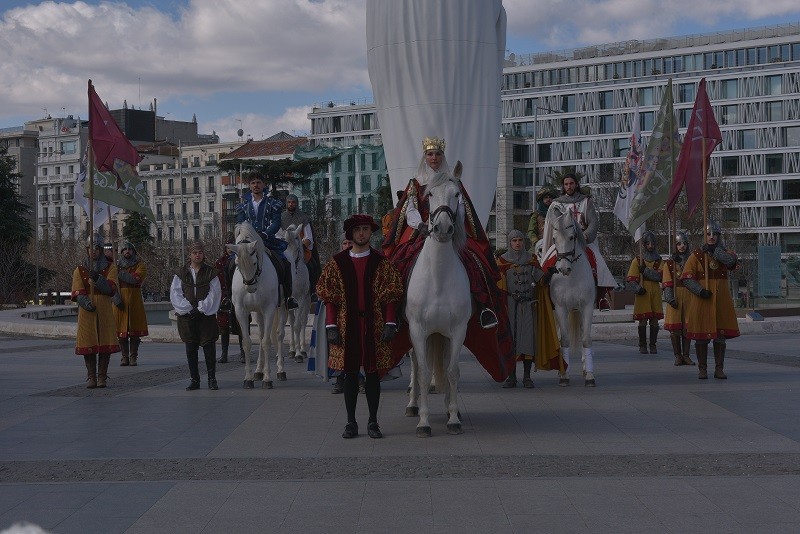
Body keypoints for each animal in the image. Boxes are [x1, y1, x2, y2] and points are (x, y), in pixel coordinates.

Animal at [227, 222, 282, 390]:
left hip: (282, 308)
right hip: (258, 313)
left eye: (254, 262)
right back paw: (258, 371)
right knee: (263, 332)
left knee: (279, 334)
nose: (250, 287)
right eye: (237, 264)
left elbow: (266, 341)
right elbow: (247, 342)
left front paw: (268, 379)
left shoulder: (270, 309)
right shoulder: (241, 311)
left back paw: (280, 370)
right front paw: (248, 378)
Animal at [404, 169, 472, 440]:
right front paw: (423, 423)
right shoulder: (417, 330)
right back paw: (412, 405)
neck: (438, 279)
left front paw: (453, 418)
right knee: (414, 364)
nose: (443, 228)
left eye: (457, 195)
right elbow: (423, 373)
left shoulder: (458, 330)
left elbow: (452, 371)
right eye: (430, 194)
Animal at [548, 205, 596, 390]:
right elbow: (565, 340)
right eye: (554, 239)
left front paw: (589, 375)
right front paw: (564, 375)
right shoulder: (561, 308)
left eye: (571, 237)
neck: (572, 277)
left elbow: (586, 339)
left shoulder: (587, 307)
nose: (563, 268)